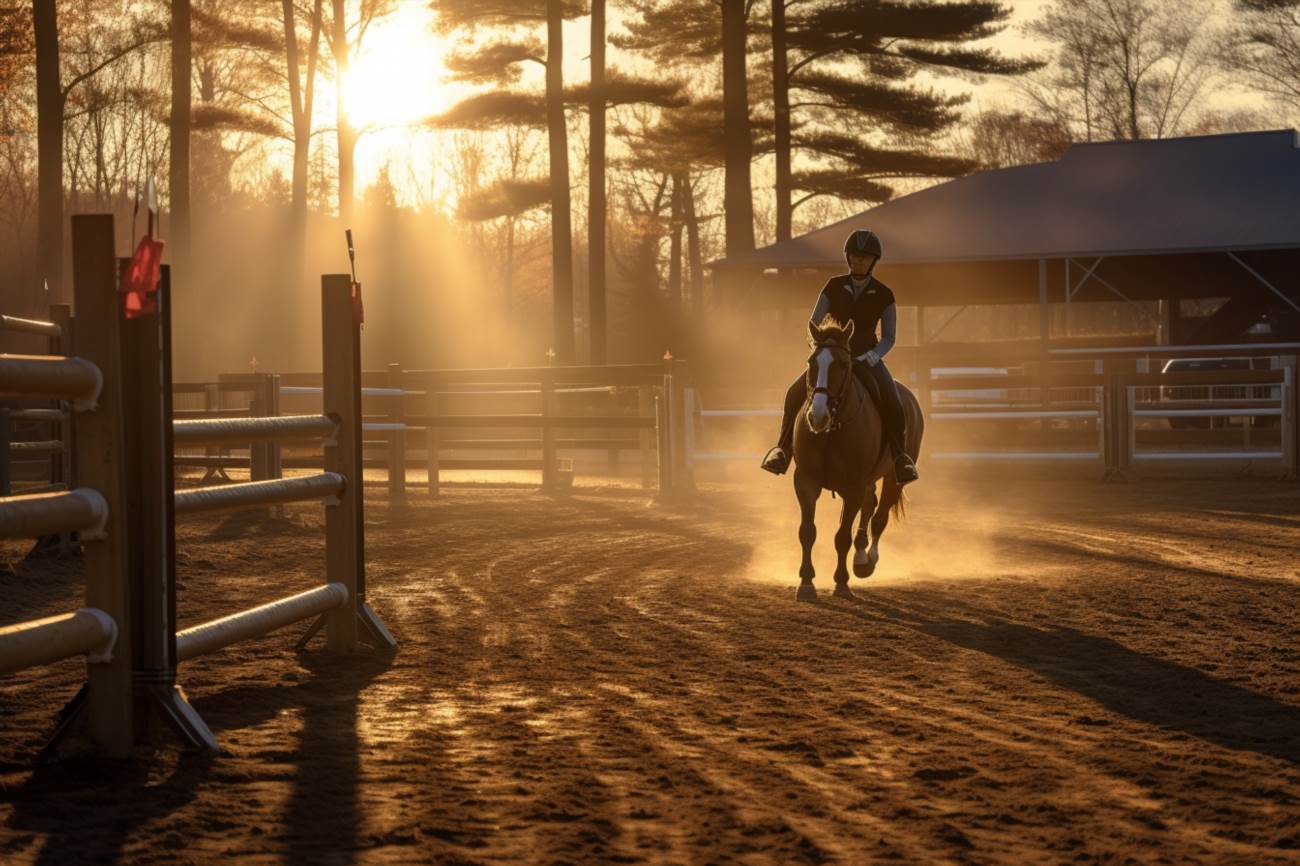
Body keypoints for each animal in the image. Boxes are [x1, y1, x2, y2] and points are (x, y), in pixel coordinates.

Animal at [790, 312, 925, 600]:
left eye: (843, 363)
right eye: (811, 362)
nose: (817, 415)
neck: (831, 431)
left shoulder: (852, 487)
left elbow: (842, 536)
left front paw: (841, 583)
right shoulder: (806, 482)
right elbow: (807, 532)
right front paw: (806, 582)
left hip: (893, 478)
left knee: (879, 517)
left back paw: (866, 561)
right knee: (869, 506)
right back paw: (861, 554)